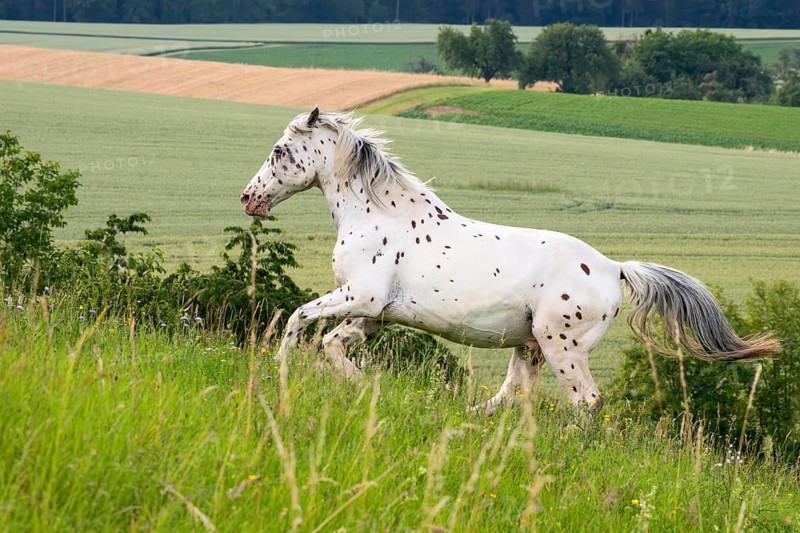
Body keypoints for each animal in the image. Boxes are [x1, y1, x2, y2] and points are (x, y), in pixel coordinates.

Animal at [240, 107, 780, 414]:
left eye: (280, 150)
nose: (249, 198)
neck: (376, 215)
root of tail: (614, 268)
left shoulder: (360, 297)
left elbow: (297, 318)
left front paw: (277, 369)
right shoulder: (372, 314)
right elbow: (332, 345)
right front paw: (364, 386)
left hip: (561, 346)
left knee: (586, 403)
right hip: (529, 346)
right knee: (512, 396)